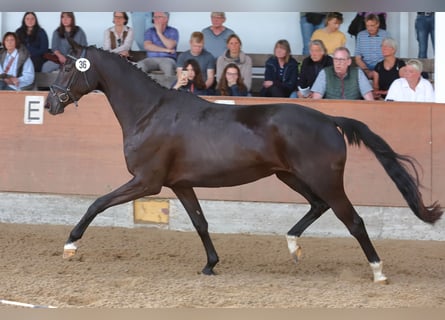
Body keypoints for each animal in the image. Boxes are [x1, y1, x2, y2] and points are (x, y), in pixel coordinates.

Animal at [45, 40, 440, 282]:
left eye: (67, 70)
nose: (50, 104)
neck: (149, 112)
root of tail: (330, 120)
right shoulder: (180, 184)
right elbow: (200, 223)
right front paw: (210, 265)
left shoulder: (147, 182)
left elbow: (97, 203)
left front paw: (70, 246)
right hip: (290, 176)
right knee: (318, 206)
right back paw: (293, 245)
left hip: (322, 179)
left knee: (353, 220)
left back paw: (378, 272)